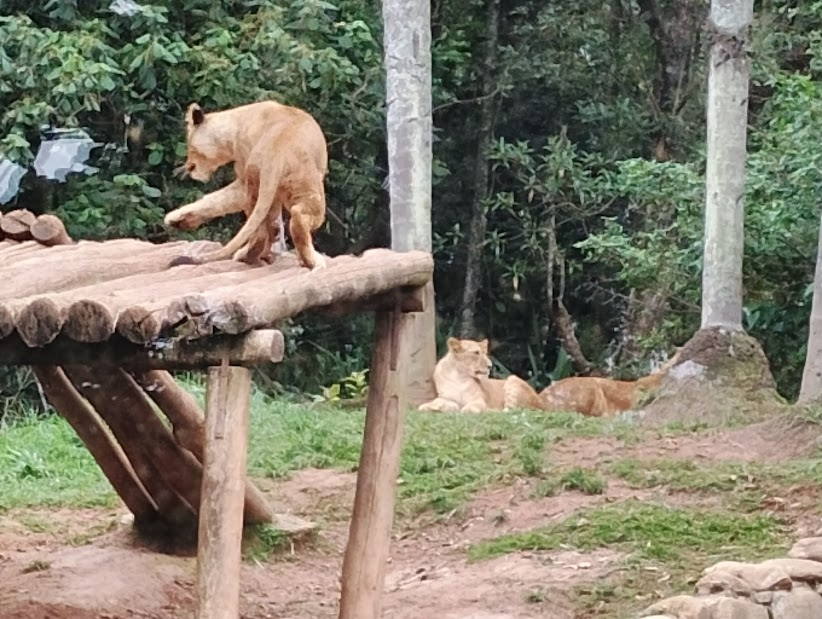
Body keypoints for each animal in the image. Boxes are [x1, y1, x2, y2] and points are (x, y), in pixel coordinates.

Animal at [164, 100, 327, 269]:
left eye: (189, 145)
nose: (189, 166)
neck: (235, 125)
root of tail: (277, 149)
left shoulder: (245, 183)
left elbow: (214, 199)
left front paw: (177, 220)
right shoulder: (246, 183)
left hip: (258, 185)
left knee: (264, 229)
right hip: (306, 189)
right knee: (291, 219)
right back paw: (310, 260)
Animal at [418, 337, 547, 413]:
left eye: (485, 353)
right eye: (476, 353)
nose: (490, 366)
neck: (459, 376)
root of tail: (541, 403)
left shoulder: (479, 399)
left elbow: (473, 406)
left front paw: (467, 410)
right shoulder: (448, 399)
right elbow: (438, 402)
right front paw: (426, 407)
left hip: (512, 379)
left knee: (511, 411)